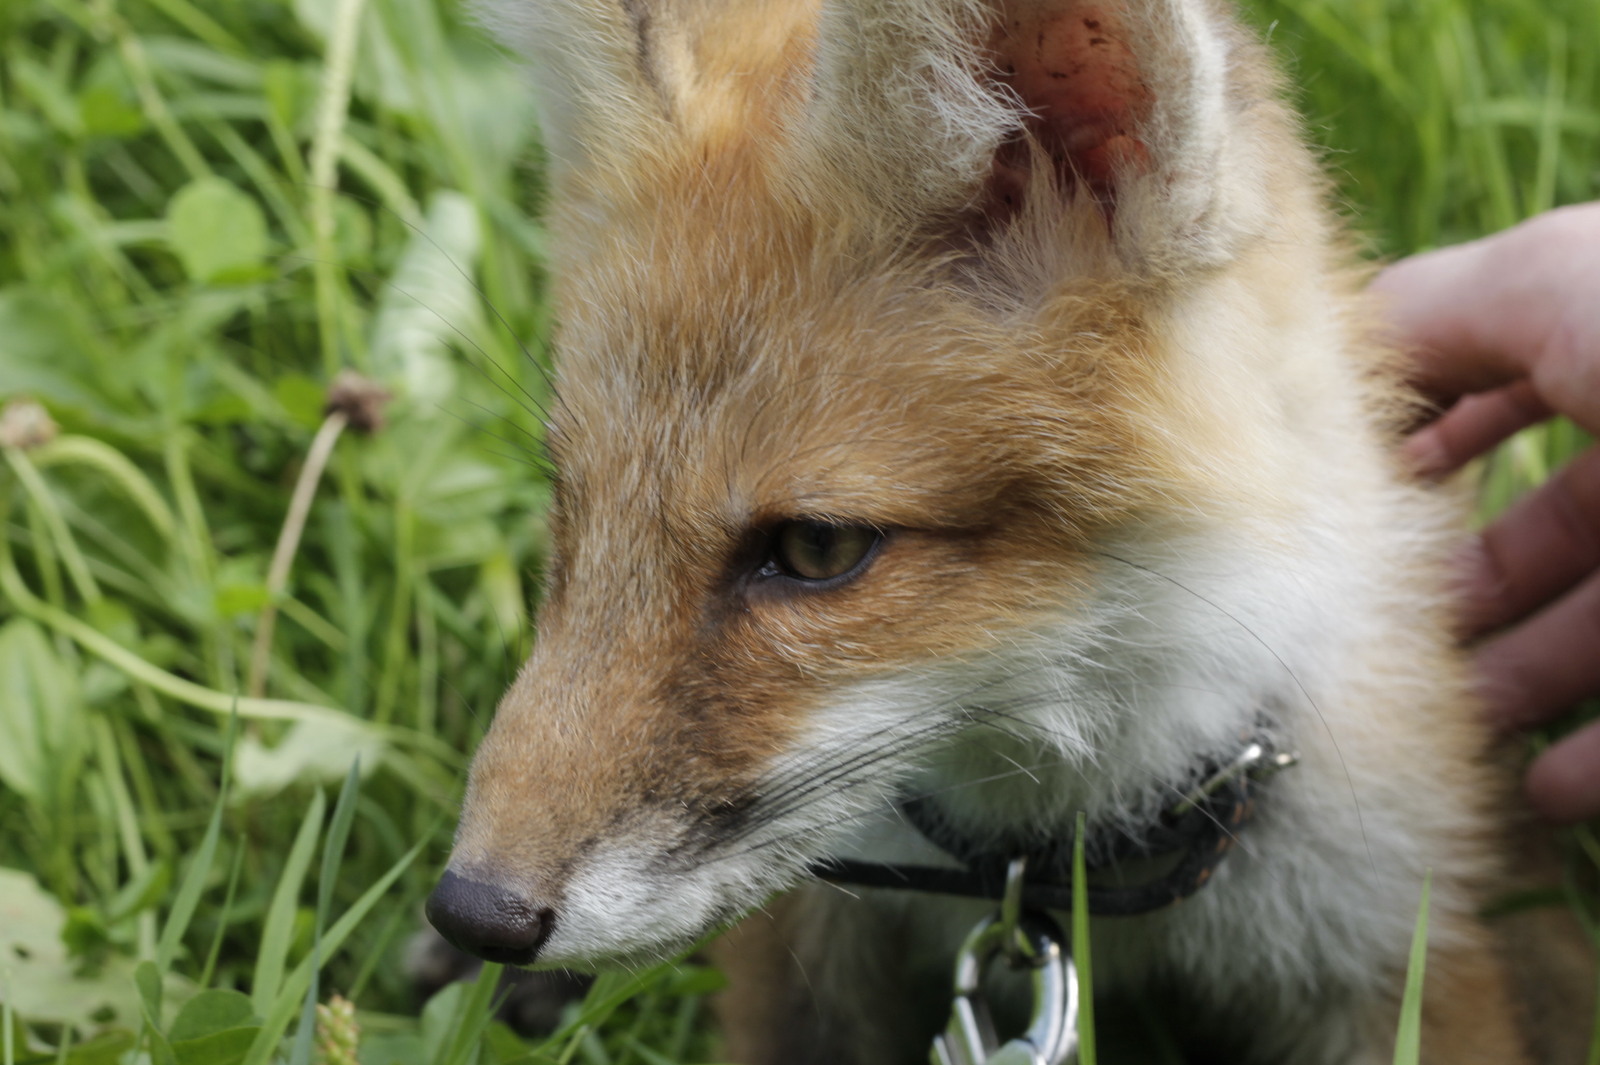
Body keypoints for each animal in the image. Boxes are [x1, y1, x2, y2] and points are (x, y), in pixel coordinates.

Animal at [425, 0, 1574, 1055]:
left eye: (817, 550)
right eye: (568, 501)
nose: (472, 909)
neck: (1061, 860)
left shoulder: (1403, 947)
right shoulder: (804, 962)